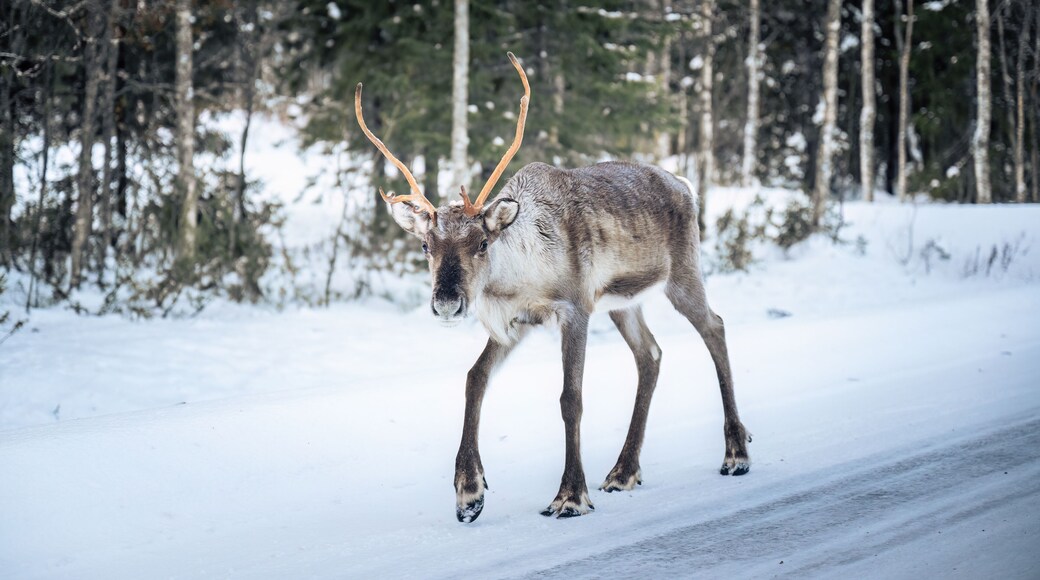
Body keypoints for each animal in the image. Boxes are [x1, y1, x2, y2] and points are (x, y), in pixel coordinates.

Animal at [355, 53, 750, 523]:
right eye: (425, 245)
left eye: (483, 243)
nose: (448, 302)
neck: (518, 281)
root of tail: (686, 186)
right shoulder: (516, 323)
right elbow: (475, 378)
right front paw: (469, 492)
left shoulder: (574, 309)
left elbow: (570, 398)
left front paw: (570, 496)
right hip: (623, 302)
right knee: (650, 354)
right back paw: (623, 471)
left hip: (683, 274)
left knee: (715, 327)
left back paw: (735, 453)